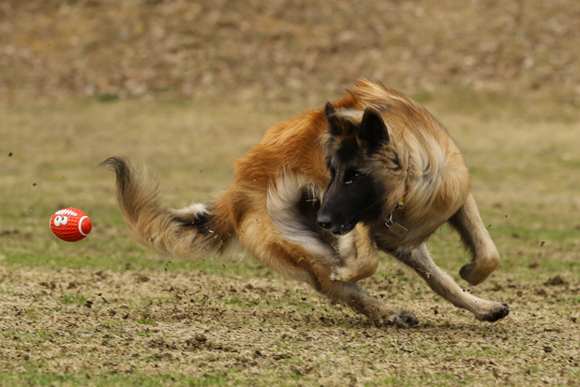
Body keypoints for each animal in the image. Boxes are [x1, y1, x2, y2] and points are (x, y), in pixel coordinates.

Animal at [103, 79, 508, 328]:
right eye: (330, 171)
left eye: (354, 176)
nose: (324, 218)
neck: (410, 184)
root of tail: (234, 194)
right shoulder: (361, 224)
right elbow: (364, 262)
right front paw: (348, 267)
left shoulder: (452, 201)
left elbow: (487, 253)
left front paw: (473, 275)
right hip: (298, 242)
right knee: (335, 285)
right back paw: (384, 310)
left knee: (434, 280)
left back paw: (480, 308)